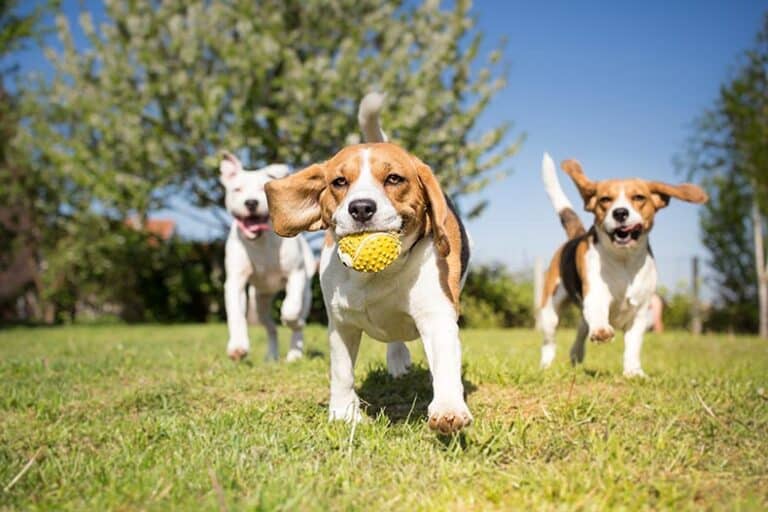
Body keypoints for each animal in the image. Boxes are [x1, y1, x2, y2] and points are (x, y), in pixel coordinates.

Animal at [220, 154, 316, 362]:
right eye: (237, 189)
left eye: (262, 189)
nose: (251, 202)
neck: (260, 241)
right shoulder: (235, 282)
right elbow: (236, 315)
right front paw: (238, 347)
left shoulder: (295, 274)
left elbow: (290, 309)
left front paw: (292, 320)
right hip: (259, 303)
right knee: (271, 328)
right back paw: (271, 356)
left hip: (306, 293)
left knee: (298, 319)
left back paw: (294, 353)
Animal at [266, 95, 474, 432]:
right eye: (339, 181)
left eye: (394, 179)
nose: (361, 207)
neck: (376, 276)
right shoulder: (341, 324)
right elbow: (341, 372)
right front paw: (343, 413)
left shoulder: (437, 316)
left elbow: (445, 364)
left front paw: (448, 409)